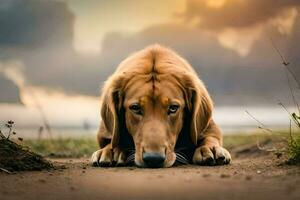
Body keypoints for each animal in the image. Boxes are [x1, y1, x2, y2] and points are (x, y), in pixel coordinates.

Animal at [90, 44, 231, 168]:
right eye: (135, 107)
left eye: (173, 108)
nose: (153, 159)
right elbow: (111, 141)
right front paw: (110, 150)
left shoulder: (209, 126)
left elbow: (211, 136)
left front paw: (209, 148)